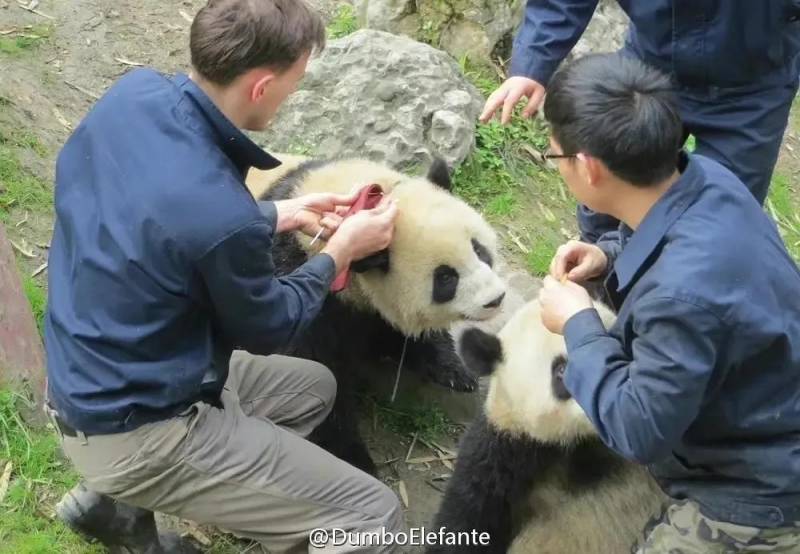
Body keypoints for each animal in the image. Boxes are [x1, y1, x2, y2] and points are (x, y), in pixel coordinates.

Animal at [244, 156, 506, 474]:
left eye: (478, 250)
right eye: (445, 278)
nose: (495, 299)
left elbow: (396, 331)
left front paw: (455, 371)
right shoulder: (297, 285)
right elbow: (316, 370)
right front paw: (356, 459)